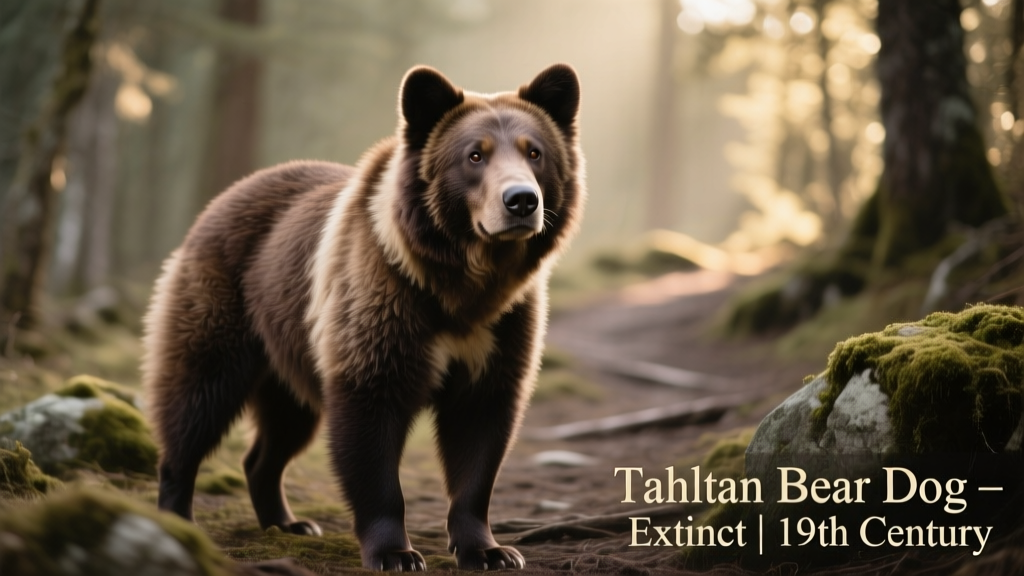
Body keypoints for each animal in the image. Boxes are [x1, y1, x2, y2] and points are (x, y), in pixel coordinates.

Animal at [142, 63, 585, 571]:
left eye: (535, 152)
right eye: (475, 155)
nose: (521, 201)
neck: (459, 284)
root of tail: (228, 193)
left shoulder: (498, 332)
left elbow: (480, 439)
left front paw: (490, 550)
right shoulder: (383, 312)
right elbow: (370, 430)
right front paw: (395, 552)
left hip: (289, 346)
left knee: (278, 435)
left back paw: (288, 522)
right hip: (225, 306)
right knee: (195, 401)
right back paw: (179, 517)